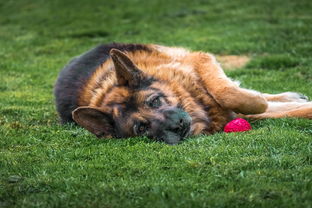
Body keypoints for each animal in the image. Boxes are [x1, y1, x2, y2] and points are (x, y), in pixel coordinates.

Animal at [54, 43, 312, 145]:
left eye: (155, 101)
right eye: (141, 128)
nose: (176, 127)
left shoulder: (199, 59)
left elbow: (228, 92)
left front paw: (257, 100)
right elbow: (285, 112)